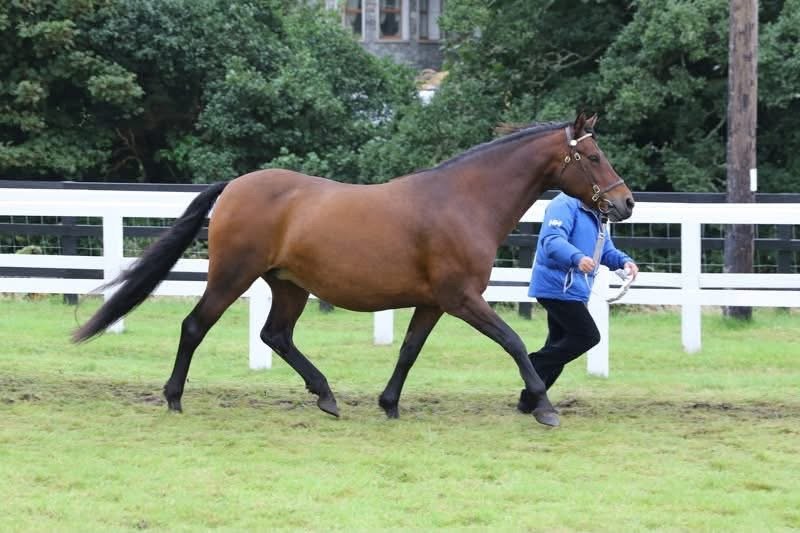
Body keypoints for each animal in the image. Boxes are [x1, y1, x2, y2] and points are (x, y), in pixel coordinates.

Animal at [73, 113, 634, 428]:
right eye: (594, 156)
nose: (625, 203)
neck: (463, 202)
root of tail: (234, 185)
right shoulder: (461, 298)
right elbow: (515, 343)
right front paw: (543, 406)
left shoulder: (432, 302)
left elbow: (408, 351)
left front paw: (389, 404)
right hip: (232, 276)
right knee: (194, 326)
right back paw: (173, 399)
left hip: (289, 287)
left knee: (276, 336)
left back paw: (326, 396)